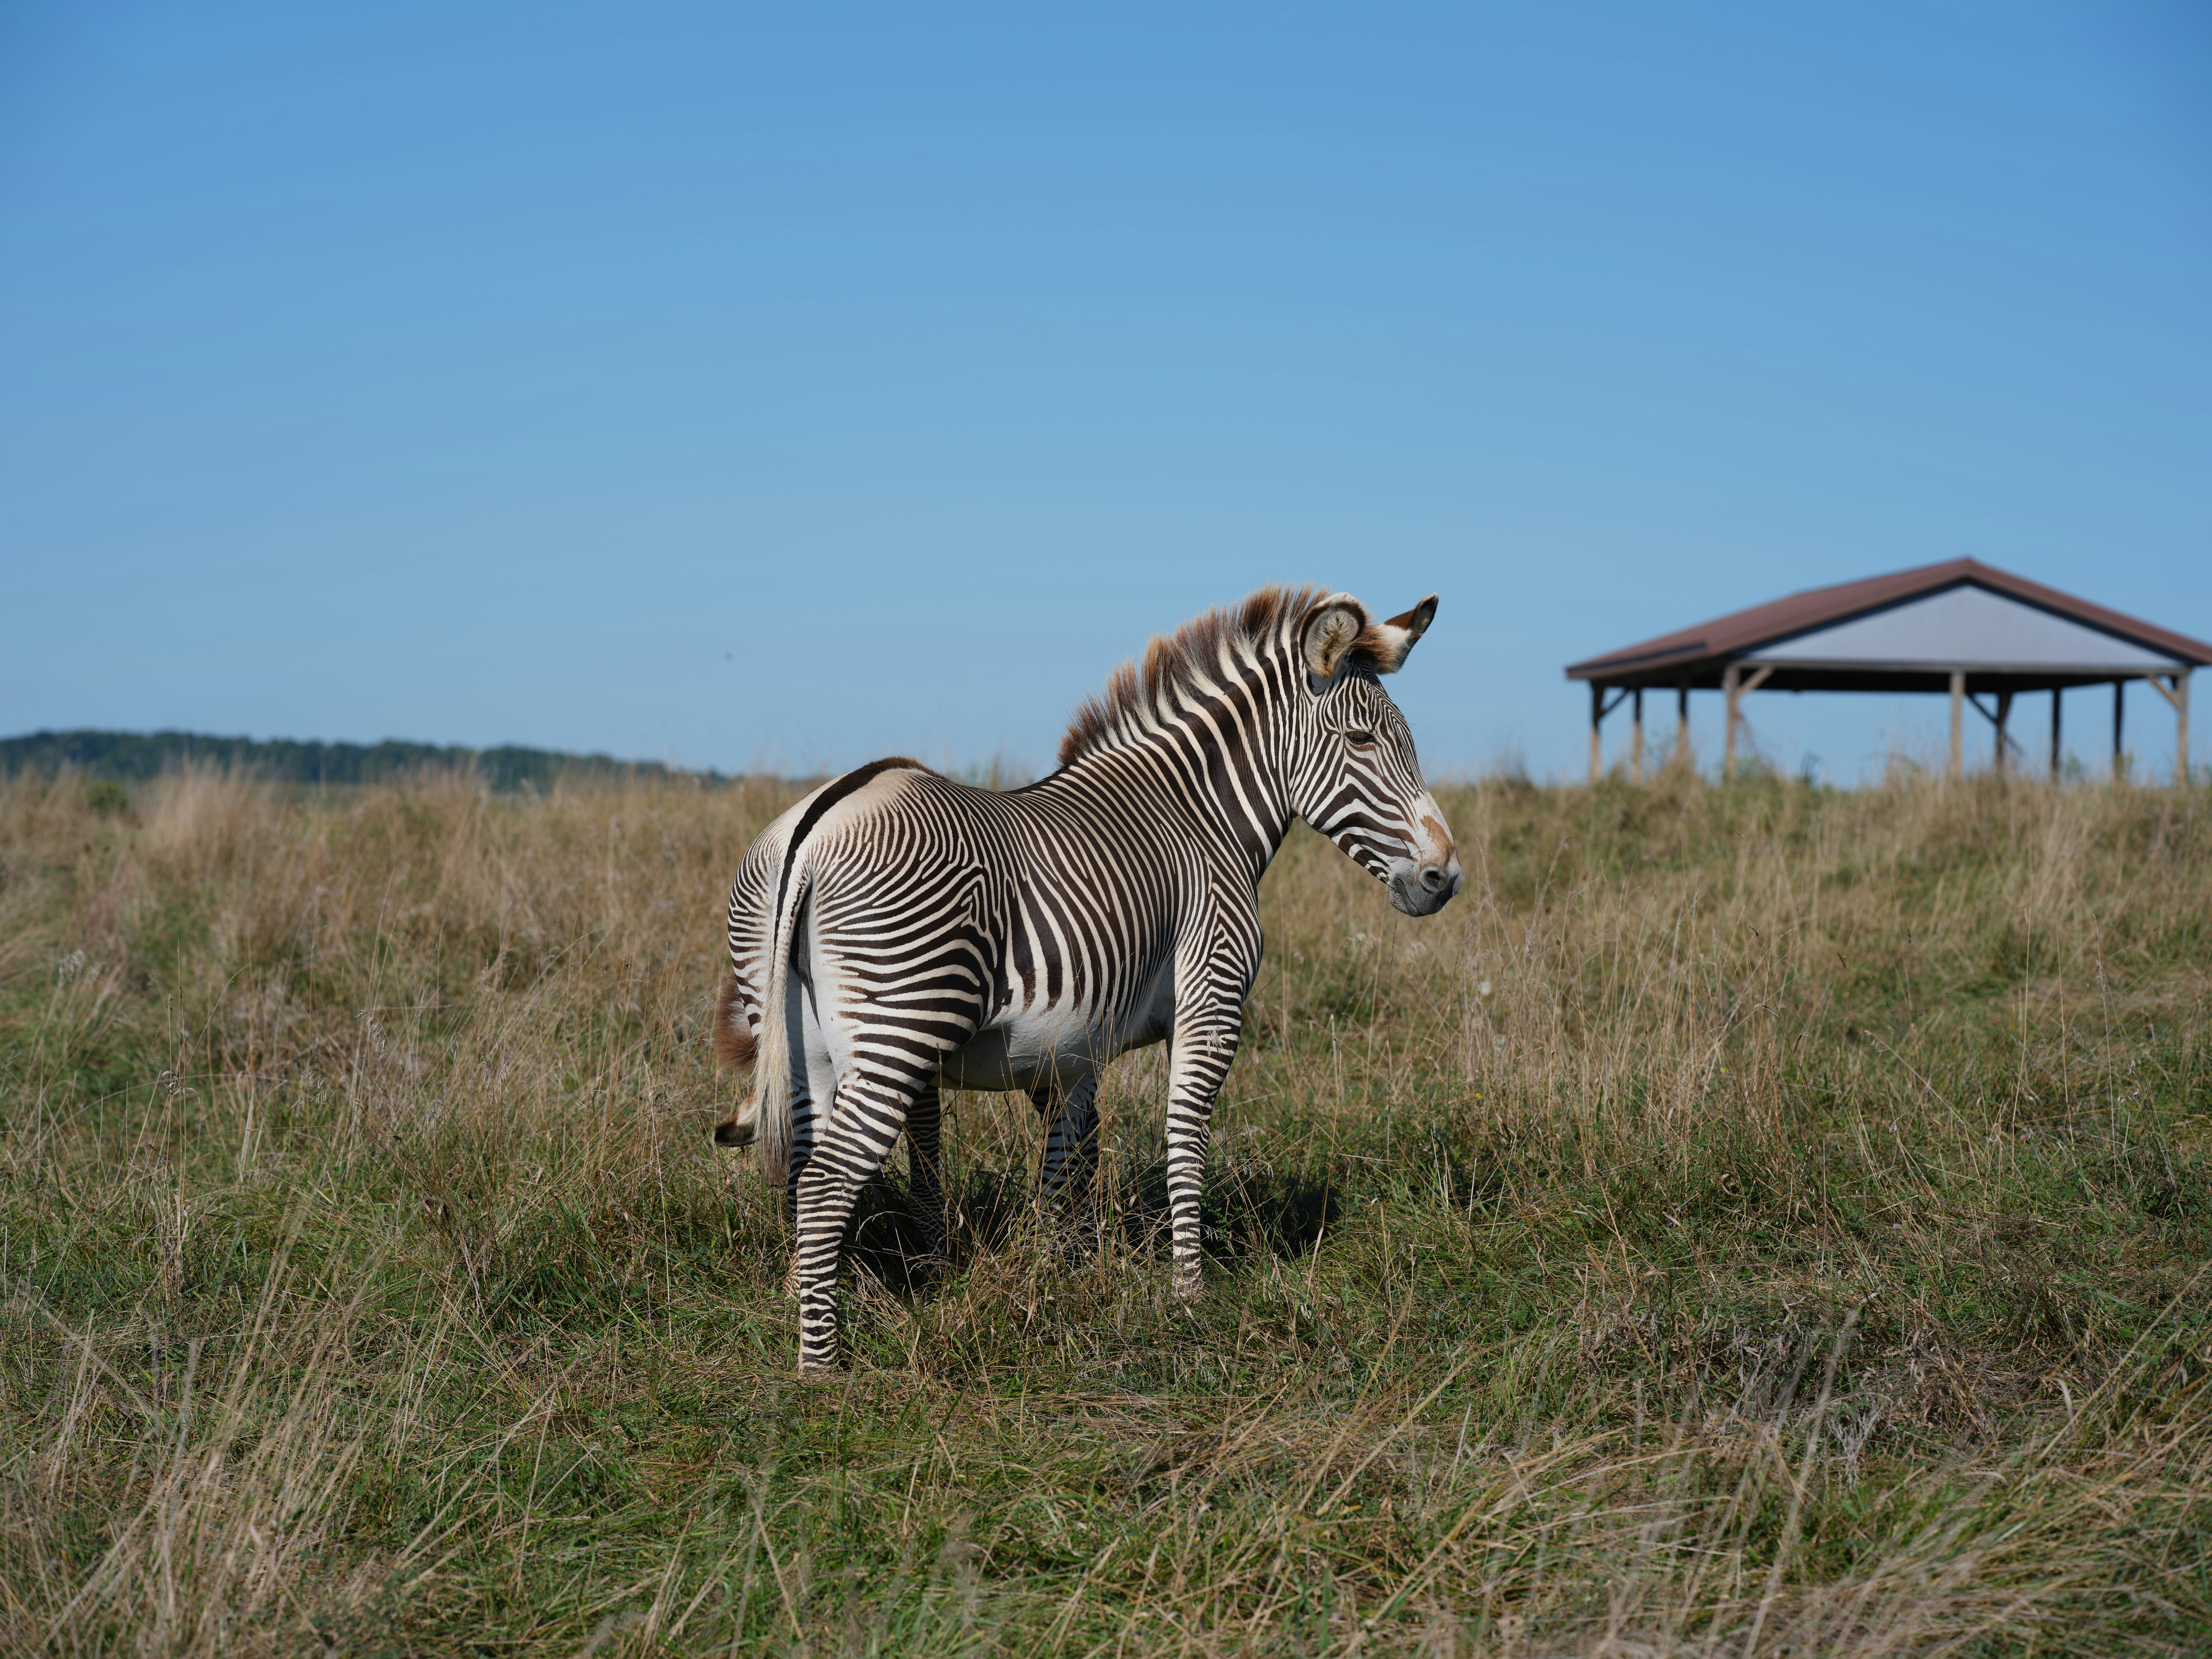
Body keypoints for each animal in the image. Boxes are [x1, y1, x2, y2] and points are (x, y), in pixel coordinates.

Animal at [712, 584, 1463, 1373]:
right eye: (1363, 741)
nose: (1444, 878)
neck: (1201, 816)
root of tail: (812, 830)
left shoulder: (1073, 1045)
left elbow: (1070, 1159)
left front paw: (1058, 1274)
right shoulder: (1212, 997)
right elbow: (1184, 1139)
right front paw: (1188, 1291)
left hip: (798, 1039)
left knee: (800, 1169)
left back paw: (806, 1301)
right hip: (901, 1025)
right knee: (826, 1184)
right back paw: (822, 1367)